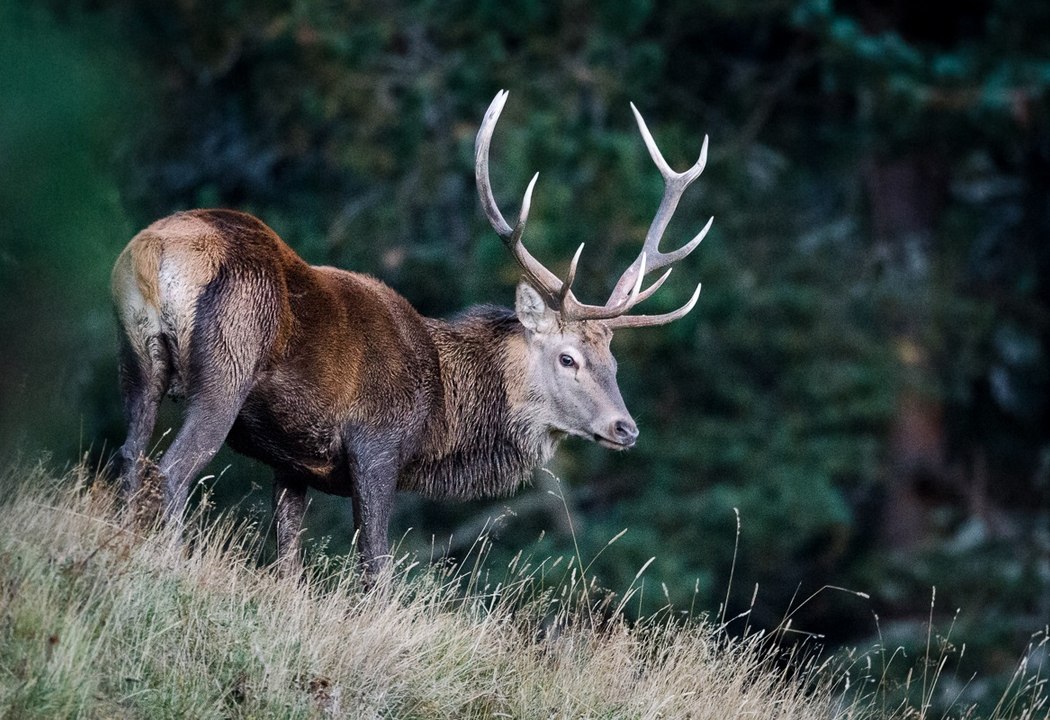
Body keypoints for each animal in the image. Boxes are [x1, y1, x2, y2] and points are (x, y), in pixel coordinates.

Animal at [111, 90, 712, 575]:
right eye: (568, 358)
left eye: (614, 363)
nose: (625, 428)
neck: (440, 415)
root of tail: (153, 251)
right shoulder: (376, 446)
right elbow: (376, 567)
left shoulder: (292, 461)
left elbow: (288, 558)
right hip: (227, 367)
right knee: (171, 469)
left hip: (137, 359)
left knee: (129, 455)